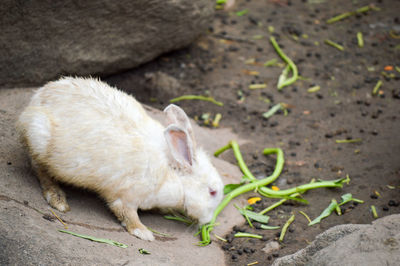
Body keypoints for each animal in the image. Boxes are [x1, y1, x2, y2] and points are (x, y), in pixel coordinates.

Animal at [17, 76, 223, 241]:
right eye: (212, 192)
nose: (208, 222)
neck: (171, 171)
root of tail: (36, 99)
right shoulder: (125, 196)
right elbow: (127, 214)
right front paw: (144, 234)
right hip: (39, 138)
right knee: (40, 169)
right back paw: (58, 200)